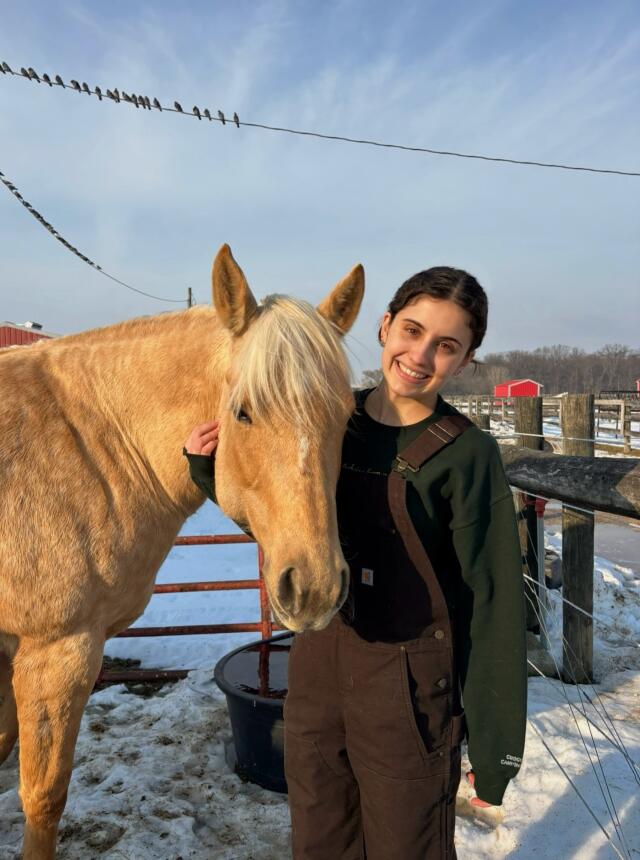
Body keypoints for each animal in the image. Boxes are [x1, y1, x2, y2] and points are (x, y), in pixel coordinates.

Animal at [0, 244, 364, 859]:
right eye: (243, 412)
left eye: (344, 417)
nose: (314, 587)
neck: (87, 441)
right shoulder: (55, 653)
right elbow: (43, 799)